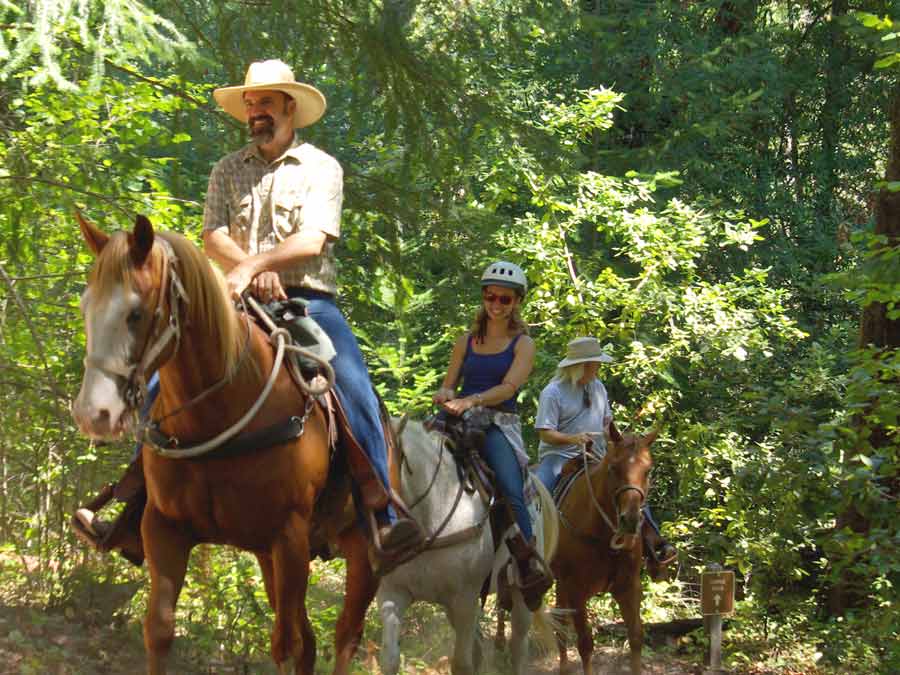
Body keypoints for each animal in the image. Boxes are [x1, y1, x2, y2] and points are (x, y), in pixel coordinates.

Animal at [71, 214, 376, 672]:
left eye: (136, 313)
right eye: (86, 306)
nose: (94, 414)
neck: (221, 412)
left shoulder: (288, 537)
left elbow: (283, 645)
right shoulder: (164, 527)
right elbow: (159, 630)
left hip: (362, 555)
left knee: (345, 637)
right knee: (311, 641)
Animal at [376, 420, 560, 675]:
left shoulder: (465, 600)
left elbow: (462, 664)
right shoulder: (392, 594)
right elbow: (390, 659)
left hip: (520, 593)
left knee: (518, 646)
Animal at [552, 434, 656, 675]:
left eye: (648, 470)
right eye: (613, 468)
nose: (630, 520)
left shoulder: (629, 587)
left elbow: (636, 636)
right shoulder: (576, 590)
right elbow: (585, 644)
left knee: (560, 623)